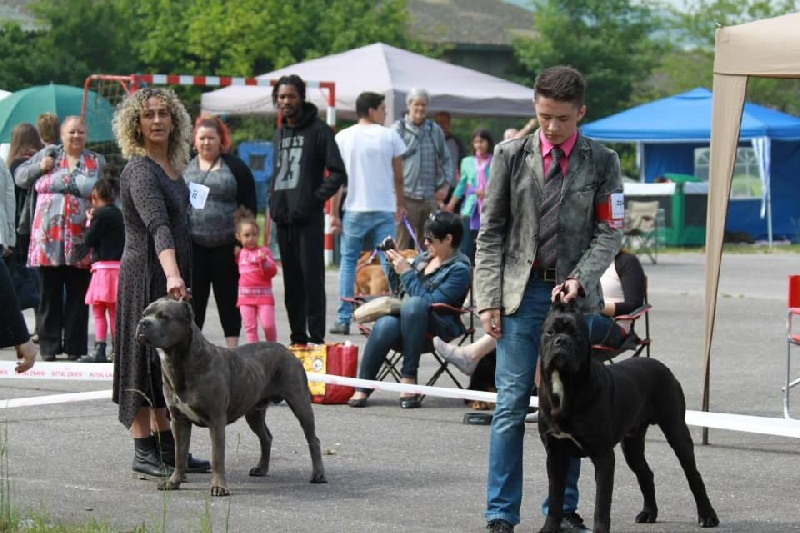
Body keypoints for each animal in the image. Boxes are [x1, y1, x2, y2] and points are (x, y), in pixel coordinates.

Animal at [136, 296, 326, 494]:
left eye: (163, 317)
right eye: (144, 314)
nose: (143, 323)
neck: (180, 362)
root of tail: (289, 351)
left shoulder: (216, 420)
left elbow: (217, 456)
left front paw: (218, 487)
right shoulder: (179, 420)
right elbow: (179, 454)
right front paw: (173, 482)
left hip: (300, 403)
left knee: (313, 439)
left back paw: (318, 475)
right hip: (254, 413)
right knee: (266, 437)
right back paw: (261, 468)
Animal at [536, 300, 720, 532]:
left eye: (576, 334)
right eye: (550, 332)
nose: (561, 341)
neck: (565, 385)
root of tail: (661, 365)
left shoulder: (603, 455)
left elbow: (601, 503)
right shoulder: (555, 453)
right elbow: (555, 498)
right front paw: (549, 528)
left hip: (676, 429)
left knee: (693, 474)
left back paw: (707, 516)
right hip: (632, 443)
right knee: (645, 472)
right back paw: (649, 513)